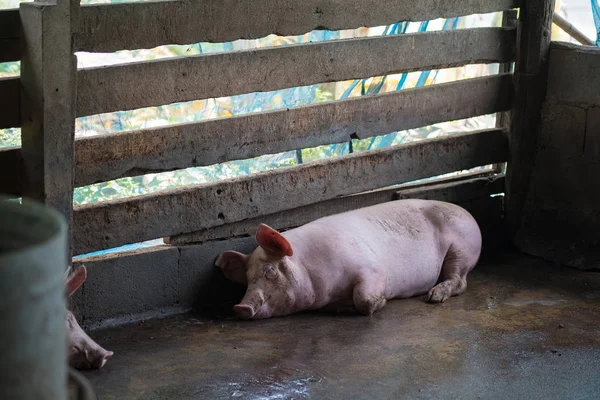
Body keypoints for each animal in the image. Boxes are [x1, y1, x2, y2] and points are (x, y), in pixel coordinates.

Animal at [216, 198, 482, 320]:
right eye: (247, 279)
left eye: (270, 271)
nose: (239, 307)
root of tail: (469, 214)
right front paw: (340, 309)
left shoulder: (374, 269)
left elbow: (364, 298)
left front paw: (372, 304)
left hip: (462, 248)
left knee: (460, 281)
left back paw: (434, 297)